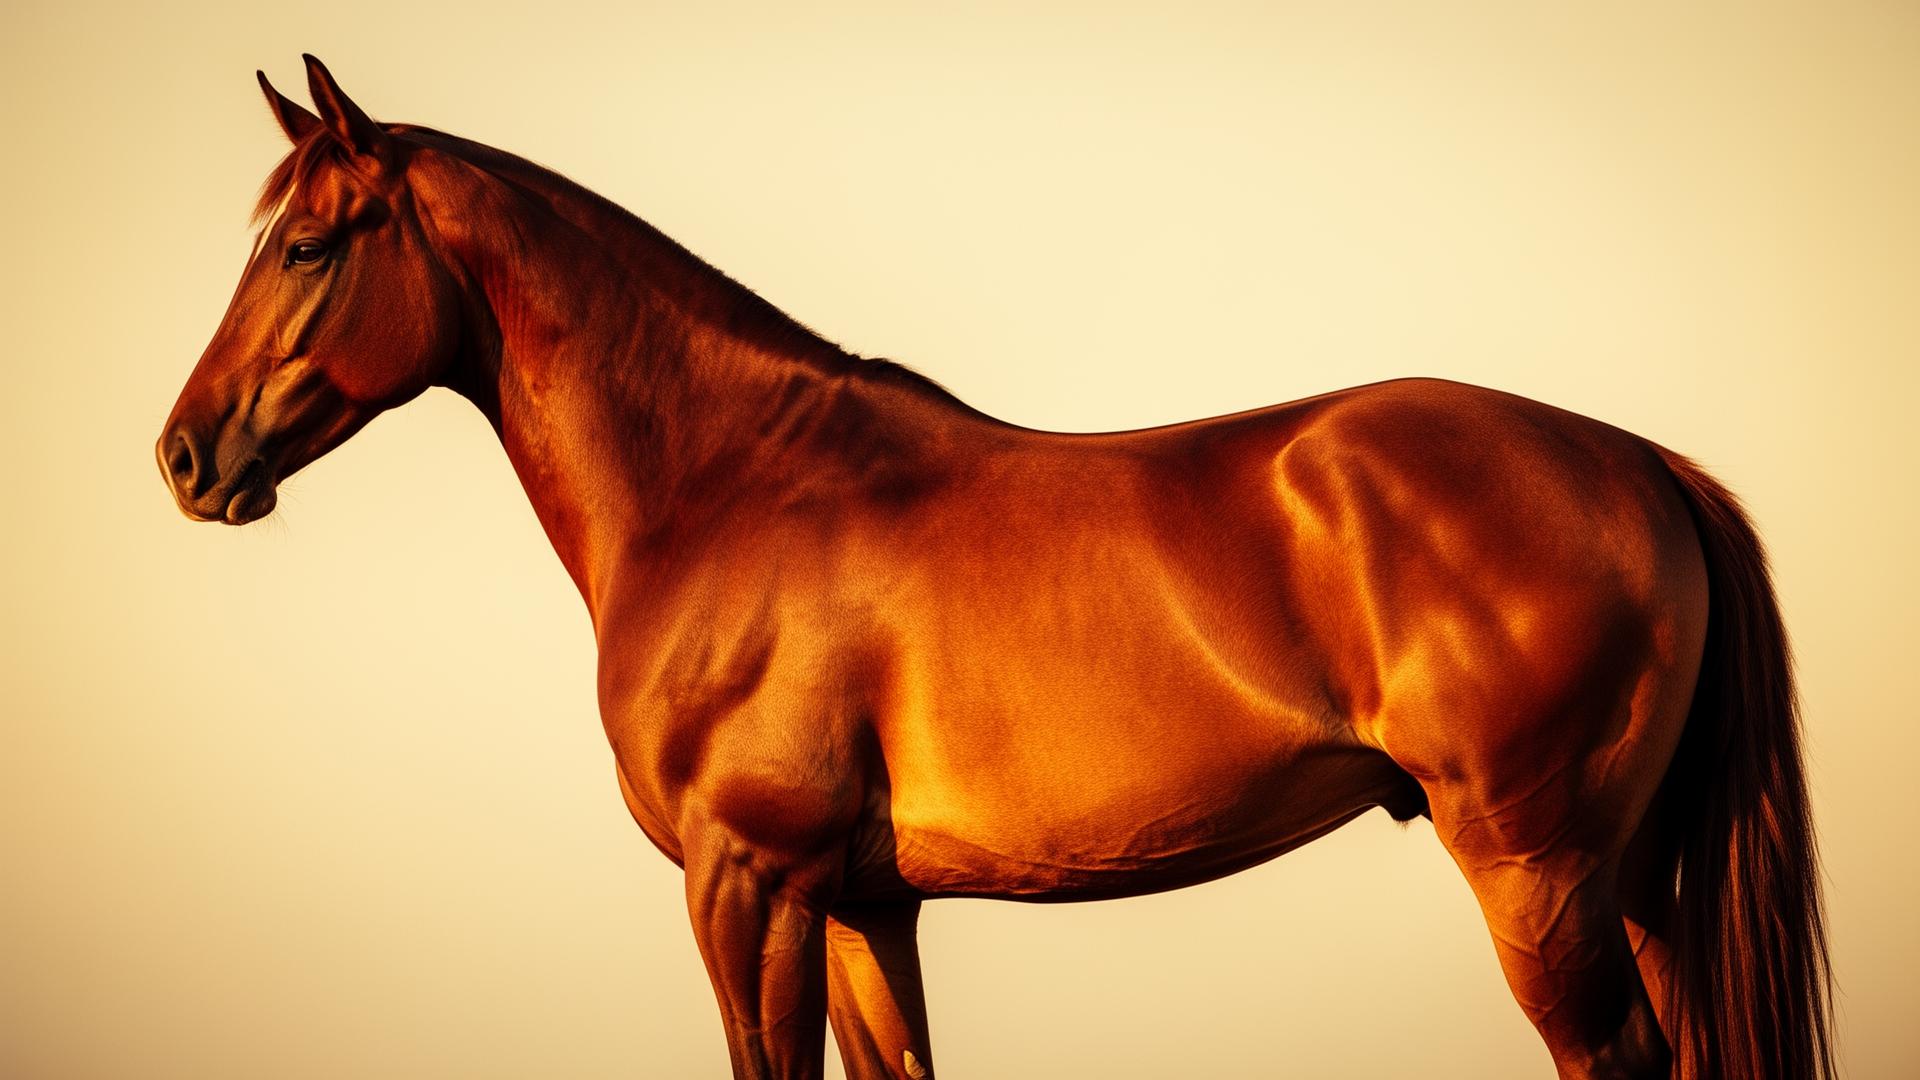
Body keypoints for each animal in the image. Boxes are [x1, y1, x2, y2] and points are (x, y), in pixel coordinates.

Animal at [157, 57, 1832, 1080]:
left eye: (308, 244)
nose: (184, 455)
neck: (726, 481)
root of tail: (1638, 462)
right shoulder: (860, 906)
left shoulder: (745, 883)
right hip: (1635, 878)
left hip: (1539, 876)